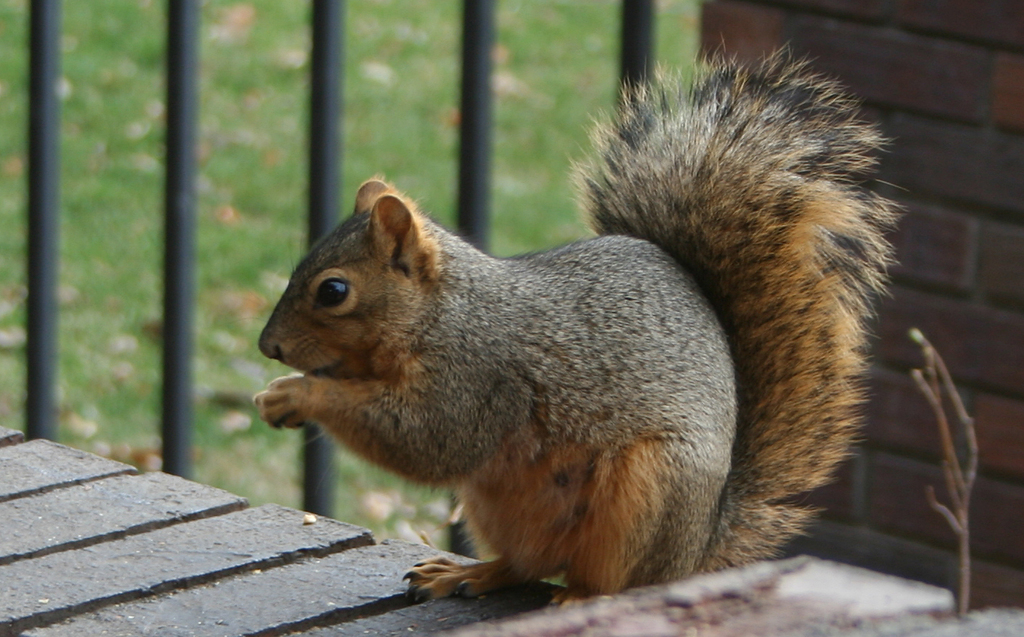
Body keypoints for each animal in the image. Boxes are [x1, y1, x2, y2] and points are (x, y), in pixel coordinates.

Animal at [254, 54, 897, 604]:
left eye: (333, 291)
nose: (269, 347)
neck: (444, 314)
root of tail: (698, 551)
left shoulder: (479, 376)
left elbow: (427, 438)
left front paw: (298, 394)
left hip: (646, 495)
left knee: (615, 583)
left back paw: (582, 597)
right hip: (498, 505)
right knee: (527, 562)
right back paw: (468, 572)